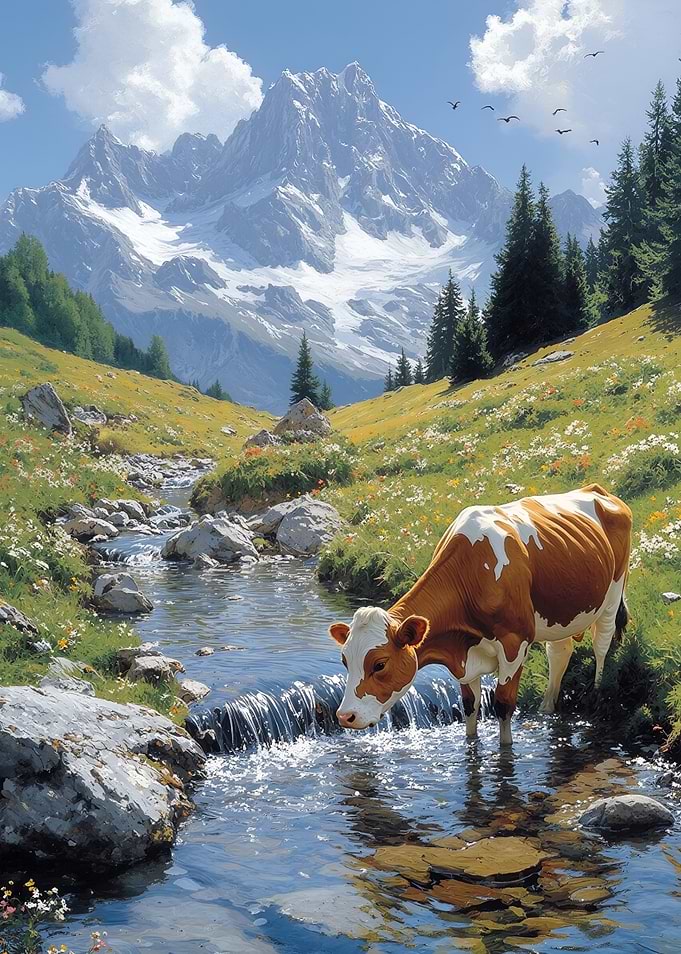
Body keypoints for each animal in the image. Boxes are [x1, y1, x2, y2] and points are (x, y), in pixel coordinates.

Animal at [329, 484, 632, 745]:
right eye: (344, 660)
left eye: (379, 664)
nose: (345, 716)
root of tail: (597, 489)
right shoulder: (464, 659)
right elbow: (469, 708)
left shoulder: (515, 643)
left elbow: (503, 705)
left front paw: (506, 747)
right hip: (561, 612)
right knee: (560, 652)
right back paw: (547, 707)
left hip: (613, 593)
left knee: (601, 645)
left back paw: (597, 692)